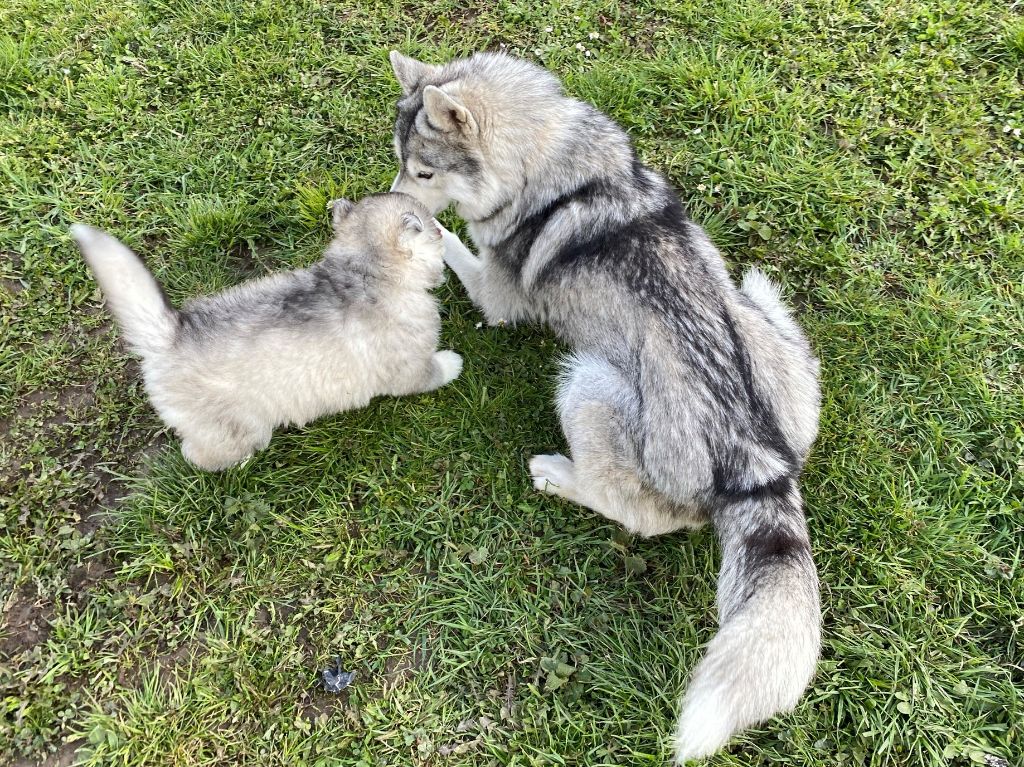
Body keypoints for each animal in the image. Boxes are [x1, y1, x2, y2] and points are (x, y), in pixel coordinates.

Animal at [75, 191, 464, 469]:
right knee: (201, 455)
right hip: (229, 426)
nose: (443, 230)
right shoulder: (409, 366)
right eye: (435, 230)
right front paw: (453, 363)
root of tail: (169, 334)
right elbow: (432, 371)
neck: (364, 272)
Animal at [387, 50, 819, 757]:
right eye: (400, 162)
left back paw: (556, 475)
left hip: (587, 382)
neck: (549, 173)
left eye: (422, 172)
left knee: (630, 509)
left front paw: (415, 230)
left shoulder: (495, 297)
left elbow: (450, 239)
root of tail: (757, 461)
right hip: (775, 335)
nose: (390, 197)